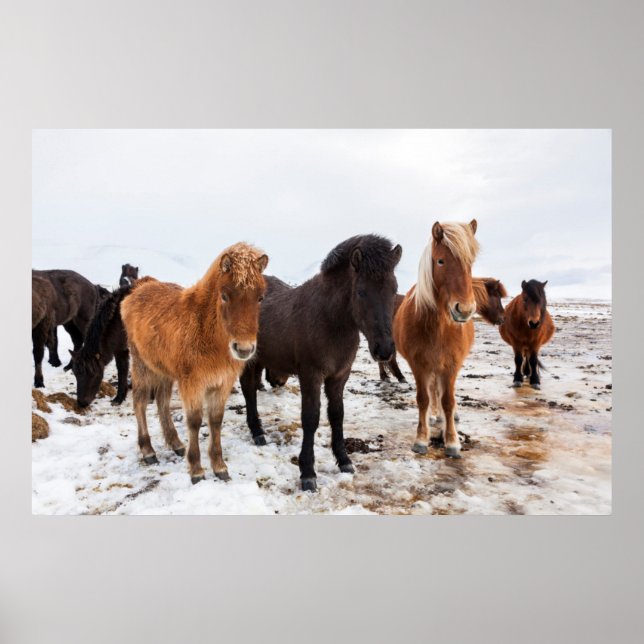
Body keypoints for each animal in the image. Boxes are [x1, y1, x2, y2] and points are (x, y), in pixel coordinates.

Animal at [121, 243, 268, 483]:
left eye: (260, 297)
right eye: (225, 295)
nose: (244, 349)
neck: (205, 329)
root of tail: (140, 288)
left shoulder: (222, 383)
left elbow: (215, 420)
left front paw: (219, 466)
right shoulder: (193, 384)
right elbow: (195, 421)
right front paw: (197, 469)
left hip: (165, 371)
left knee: (162, 401)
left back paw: (176, 444)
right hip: (142, 365)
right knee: (140, 403)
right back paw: (148, 451)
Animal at [239, 235, 402, 492]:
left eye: (394, 290)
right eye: (361, 292)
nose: (384, 349)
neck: (330, 320)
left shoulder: (339, 376)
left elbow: (337, 415)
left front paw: (344, 460)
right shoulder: (311, 375)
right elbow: (311, 418)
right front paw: (308, 472)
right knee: (248, 391)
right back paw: (257, 433)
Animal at [393, 220, 479, 458]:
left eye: (470, 262)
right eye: (440, 261)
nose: (464, 310)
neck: (439, 328)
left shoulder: (451, 365)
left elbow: (448, 401)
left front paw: (452, 442)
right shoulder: (419, 365)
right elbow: (423, 399)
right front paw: (421, 439)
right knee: (433, 392)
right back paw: (434, 414)